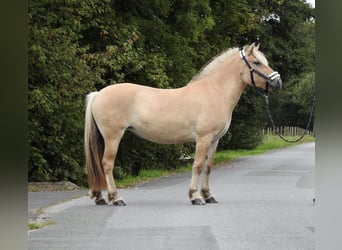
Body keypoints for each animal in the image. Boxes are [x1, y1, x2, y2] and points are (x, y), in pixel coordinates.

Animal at [84, 43, 282, 206]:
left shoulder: (214, 140)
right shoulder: (203, 138)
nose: (277, 82)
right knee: (107, 164)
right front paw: (195, 196)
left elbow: (208, 167)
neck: (215, 92)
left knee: (98, 165)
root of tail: (98, 94)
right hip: (113, 137)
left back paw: (100, 198)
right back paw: (116, 198)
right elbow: (198, 165)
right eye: (256, 62)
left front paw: (208, 195)